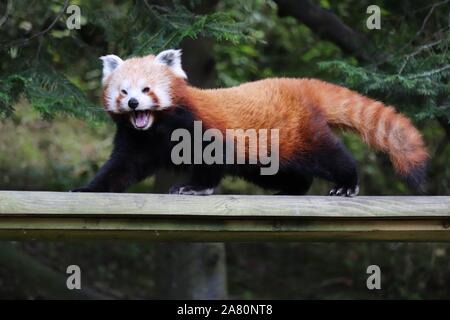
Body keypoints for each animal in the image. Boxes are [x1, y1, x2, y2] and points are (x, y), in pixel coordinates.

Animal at [74, 49, 428, 198]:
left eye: (147, 90)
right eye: (123, 92)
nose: (134, 104)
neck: (158, 129)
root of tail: (299, 85)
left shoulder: (200, 126)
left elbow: (210, 161)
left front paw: (193, 187)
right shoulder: (136, 141)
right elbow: (121, 168)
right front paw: (89, 188)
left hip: (298, 134)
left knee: (331, 157)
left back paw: (346, 183)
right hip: (266, 157)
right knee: (284, 174)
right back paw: (290, 190)